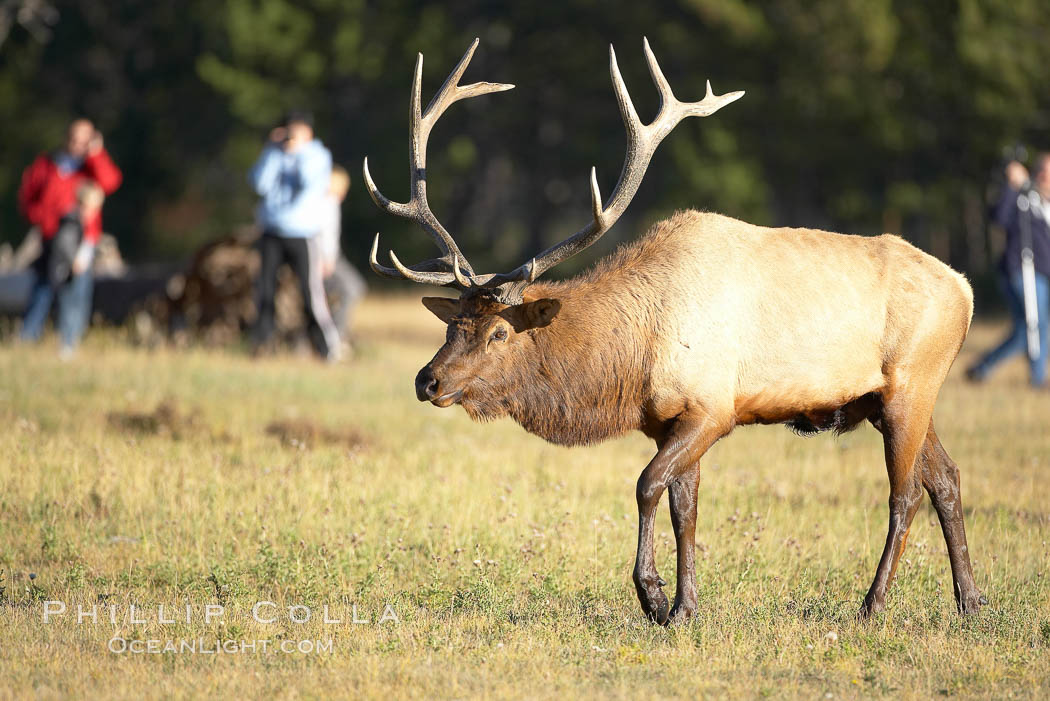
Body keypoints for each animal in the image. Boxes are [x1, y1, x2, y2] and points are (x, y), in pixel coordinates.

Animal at [363, 36, 982, 625]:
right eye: (453, 325)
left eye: (499, 333)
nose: (428, 381)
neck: (632, 360)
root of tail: (966, 289)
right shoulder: (669, 420)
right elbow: (685, 507)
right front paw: (686, 607)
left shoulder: (713, 408)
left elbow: (646, 486)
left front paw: (654, 598)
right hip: (889, 399)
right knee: (946, 478)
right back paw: (971, 602)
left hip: (909, 386)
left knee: (905, 493)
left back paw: (873, 606)